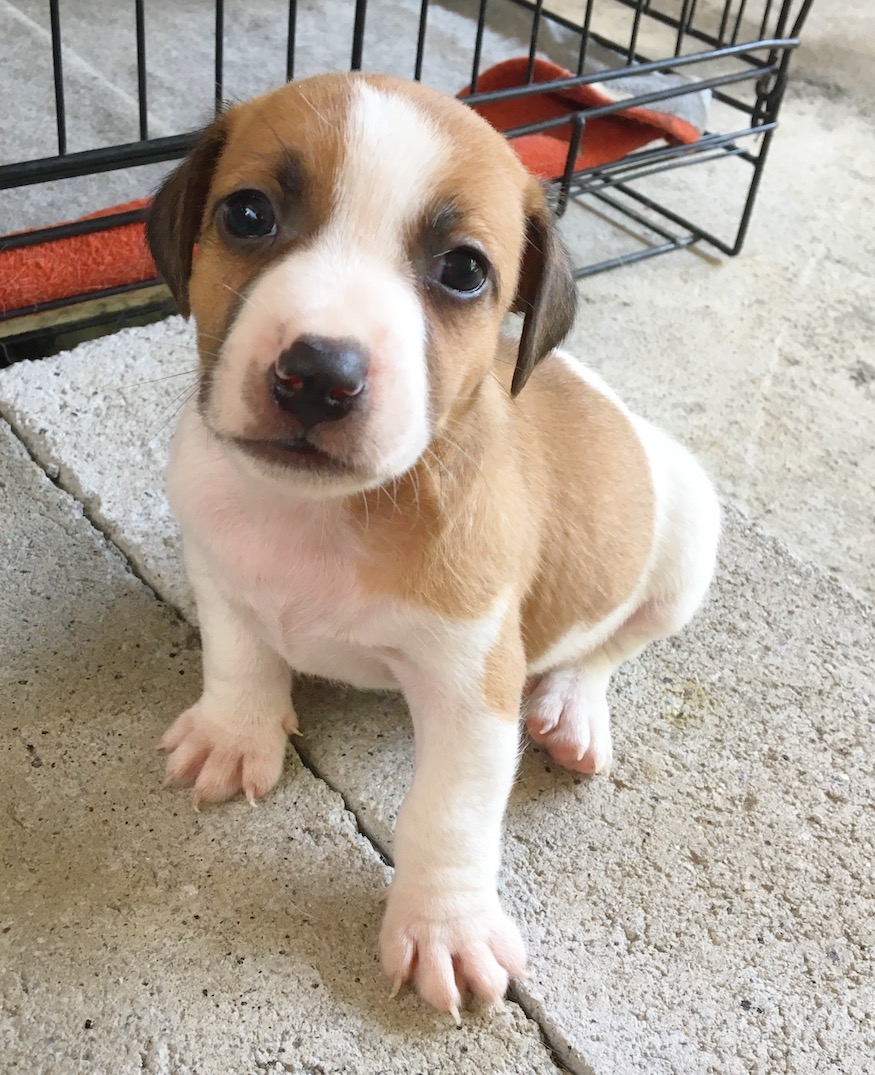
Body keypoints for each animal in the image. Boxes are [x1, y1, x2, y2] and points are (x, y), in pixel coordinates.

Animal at [146, 71, 720, 1020]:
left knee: (610, 647)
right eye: (248, 214)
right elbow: (238, 654)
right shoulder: (217, 567)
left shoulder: (468, 687)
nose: (319, 374)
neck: (320, 513)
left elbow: (446, 811)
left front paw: (444, 925)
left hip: (684, 549)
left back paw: (572, 709)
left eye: (462, 271)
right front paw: (235, 729)